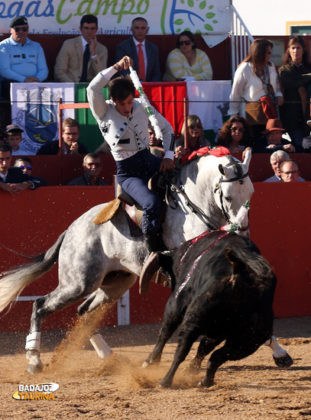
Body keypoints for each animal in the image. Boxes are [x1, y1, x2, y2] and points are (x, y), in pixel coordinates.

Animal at [0, 149, 292, 372]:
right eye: (229, 196)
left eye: (251, 195)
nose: (242, 232)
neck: (196, 207)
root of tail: (73, 228)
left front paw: (280, 353)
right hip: (78, 282)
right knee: (40, 305)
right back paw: (34, 360)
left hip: (115, 283)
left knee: (84, 311)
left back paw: (109, 358)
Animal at [144, 230, 278, 388]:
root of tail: (240, 271)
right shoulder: (218, 333)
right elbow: (205, 347)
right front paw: (191, 370)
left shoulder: (177, 301)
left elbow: (165, 332)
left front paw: (150, 362)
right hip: (251, 339)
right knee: (217, 356)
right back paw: (205, 380)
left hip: (194, 318)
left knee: (181, 350)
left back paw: (165, 381)